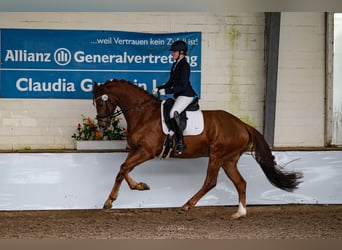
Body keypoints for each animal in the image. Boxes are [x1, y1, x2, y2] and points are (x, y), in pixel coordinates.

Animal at [93, 79, 302, 218]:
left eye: (102, 101)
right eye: (94, 102)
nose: (102, 125)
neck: (143, 113)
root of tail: (242, 125)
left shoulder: (147, 151)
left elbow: (123, 168)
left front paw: (110, 200)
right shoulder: (136, 150)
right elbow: (124, 169)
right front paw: (138, 186)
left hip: (217, 155)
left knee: (210, 182)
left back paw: (187, 205)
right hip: (229, 160)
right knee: (240, 183)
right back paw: (240, 213)